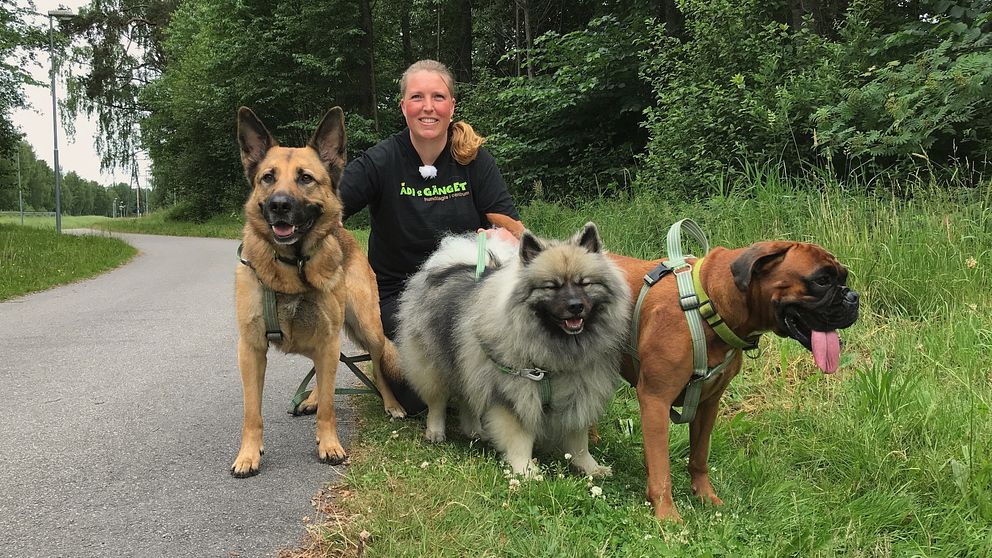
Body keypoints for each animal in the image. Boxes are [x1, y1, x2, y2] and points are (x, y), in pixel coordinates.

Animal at [394, 223, 628, 476]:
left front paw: (590, 467)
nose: (575, 306)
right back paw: (436, 431)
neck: (555, 352)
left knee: (469, 398)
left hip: (468, 366)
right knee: (437, 400)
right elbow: (519, 436)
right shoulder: (516, 393)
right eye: (551, 286)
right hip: (433, 365)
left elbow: (578, 438)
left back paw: (474, 431)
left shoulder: (580, 392)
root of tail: (451, 266)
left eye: (584, 283)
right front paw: (525, 470)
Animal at [608, 243, 856, 524]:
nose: (853, 297)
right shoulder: (655, 401)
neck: (707, 306)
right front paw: (666, 514)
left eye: (844, 277)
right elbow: (662, 468)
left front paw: (705, 496)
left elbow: (699, 457)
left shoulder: (707, 404)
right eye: (821, 281)